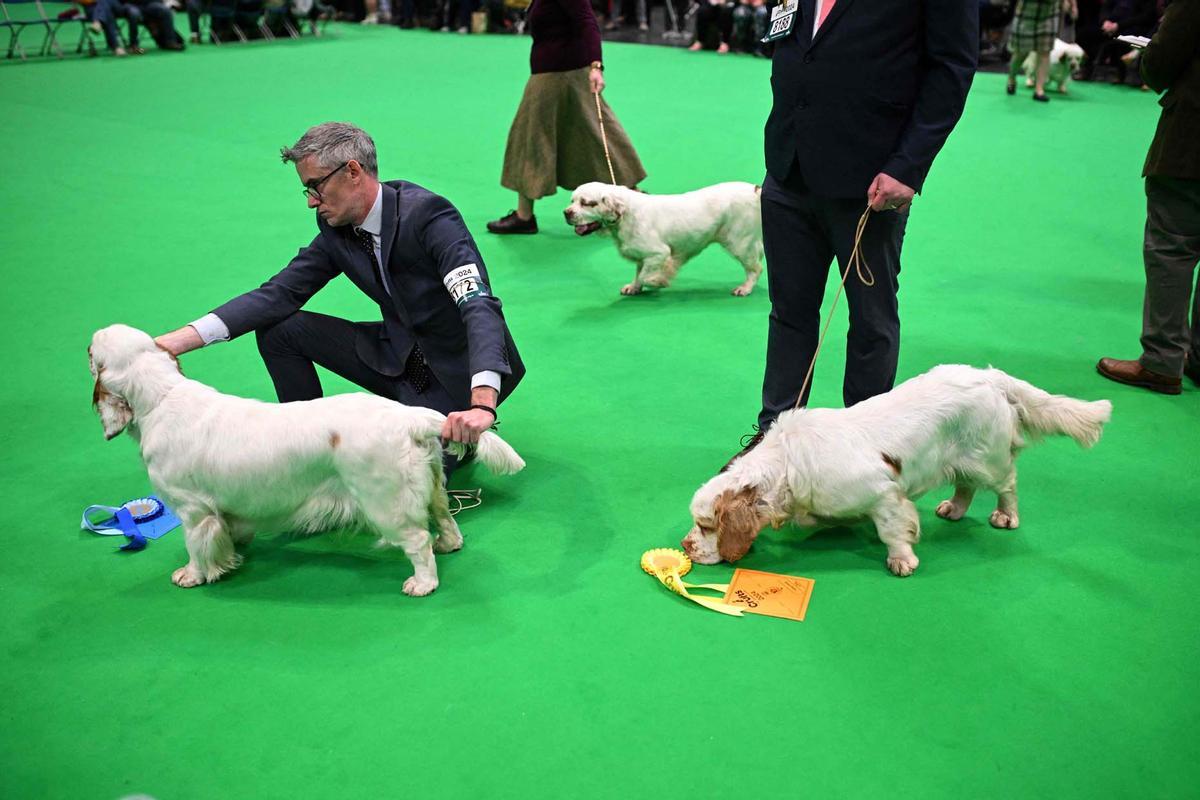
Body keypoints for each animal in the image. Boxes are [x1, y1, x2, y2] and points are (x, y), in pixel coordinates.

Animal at [87, 323, 528, 594]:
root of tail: (409, 416)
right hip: (432, 481)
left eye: (91, 351)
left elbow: (197, 546)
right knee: (443, 516)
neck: (162, 396)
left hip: (384, 501)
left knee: (417, 540)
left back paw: (422, 583)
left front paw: (191, 576)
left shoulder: (193, 510)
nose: (86, 343)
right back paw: (448, 545)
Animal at [559, 181, 758, 297]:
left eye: (586, 203)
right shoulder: (643, 257)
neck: (625, 215)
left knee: (755, 269)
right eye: (572, 201)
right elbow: (639, 273)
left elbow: (647, 275)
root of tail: (755, 190)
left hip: (739, 243)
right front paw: (634, 287)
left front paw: (659, 281)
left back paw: (745, 288)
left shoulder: (659, 253)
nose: (566, 213)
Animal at [681, 367, 1108, 578]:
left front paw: (902, 560)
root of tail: (991, 376)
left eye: (706, 525)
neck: (788, 464)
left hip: (990, 459)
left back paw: (1006, 516)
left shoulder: (883, 493)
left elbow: (892, 528)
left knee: (1008, 484)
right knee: (964, 487)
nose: (685, 547)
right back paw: (952, 510)